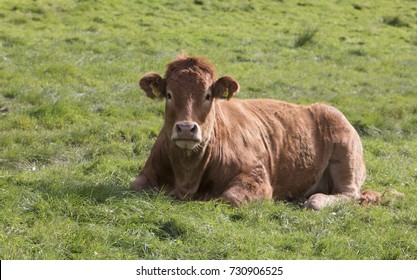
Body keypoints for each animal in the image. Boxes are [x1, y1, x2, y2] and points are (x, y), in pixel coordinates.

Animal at [131, 54, 380, 209]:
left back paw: (315, 201)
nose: (185, 128)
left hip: (346, 156)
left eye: (208, 96)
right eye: (169, 94)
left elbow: (230, 198)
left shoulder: (257, 177)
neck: (187, 175)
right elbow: (136, 186)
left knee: (349, 194)